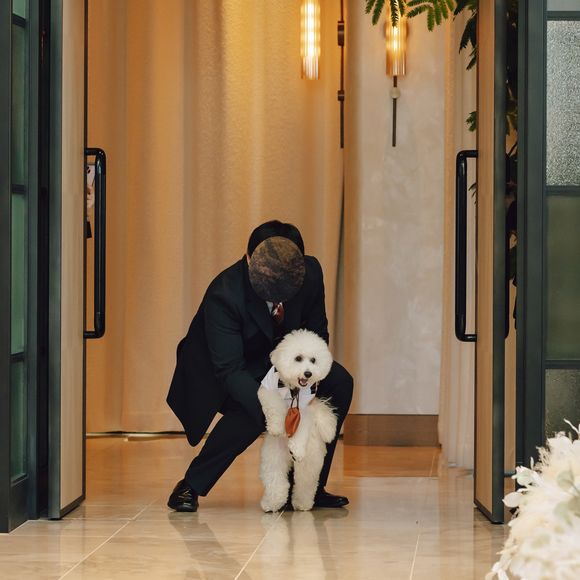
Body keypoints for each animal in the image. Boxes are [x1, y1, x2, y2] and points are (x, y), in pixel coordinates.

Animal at [257, 329, 337, 512]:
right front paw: (277, 427)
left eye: (313, 360)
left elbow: (301, 428)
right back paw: (272, 503)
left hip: (310, 460)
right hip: (273, 458)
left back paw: (302, 504)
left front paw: (297, 449)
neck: (294, 389)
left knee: (305, 484)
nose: (308, 373)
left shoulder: (306, 410)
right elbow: (275, 406)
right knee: (276, 481)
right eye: (298, 358)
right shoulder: (267, 389)